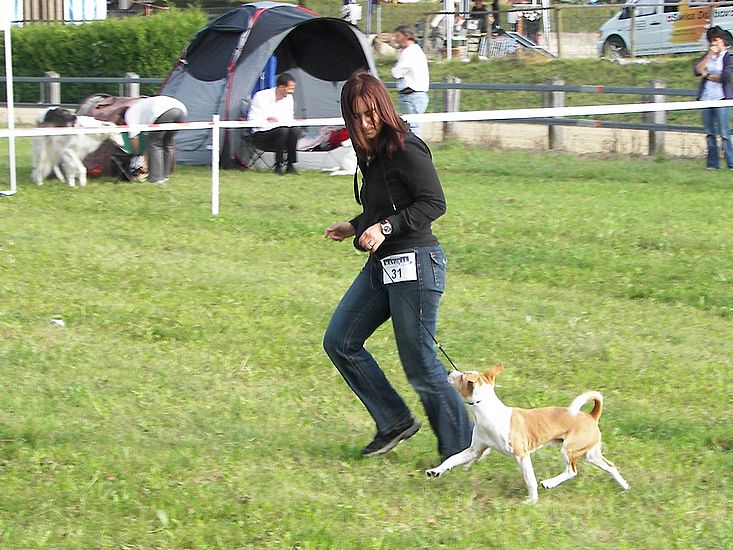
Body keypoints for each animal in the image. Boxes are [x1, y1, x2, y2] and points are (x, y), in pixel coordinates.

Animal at [425, 364, 629, 504]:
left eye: (462, 376)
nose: (448, 371)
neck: (488, 411)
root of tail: (591, 416)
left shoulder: (521, 455)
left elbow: (530, 479)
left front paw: (531, 501)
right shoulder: (474, 450)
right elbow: (451, 459)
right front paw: (435, 471)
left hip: (568, 450)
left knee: (571, 471)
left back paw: (549, 483)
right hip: (590, 454)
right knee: (610, 466)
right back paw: (625, 486)